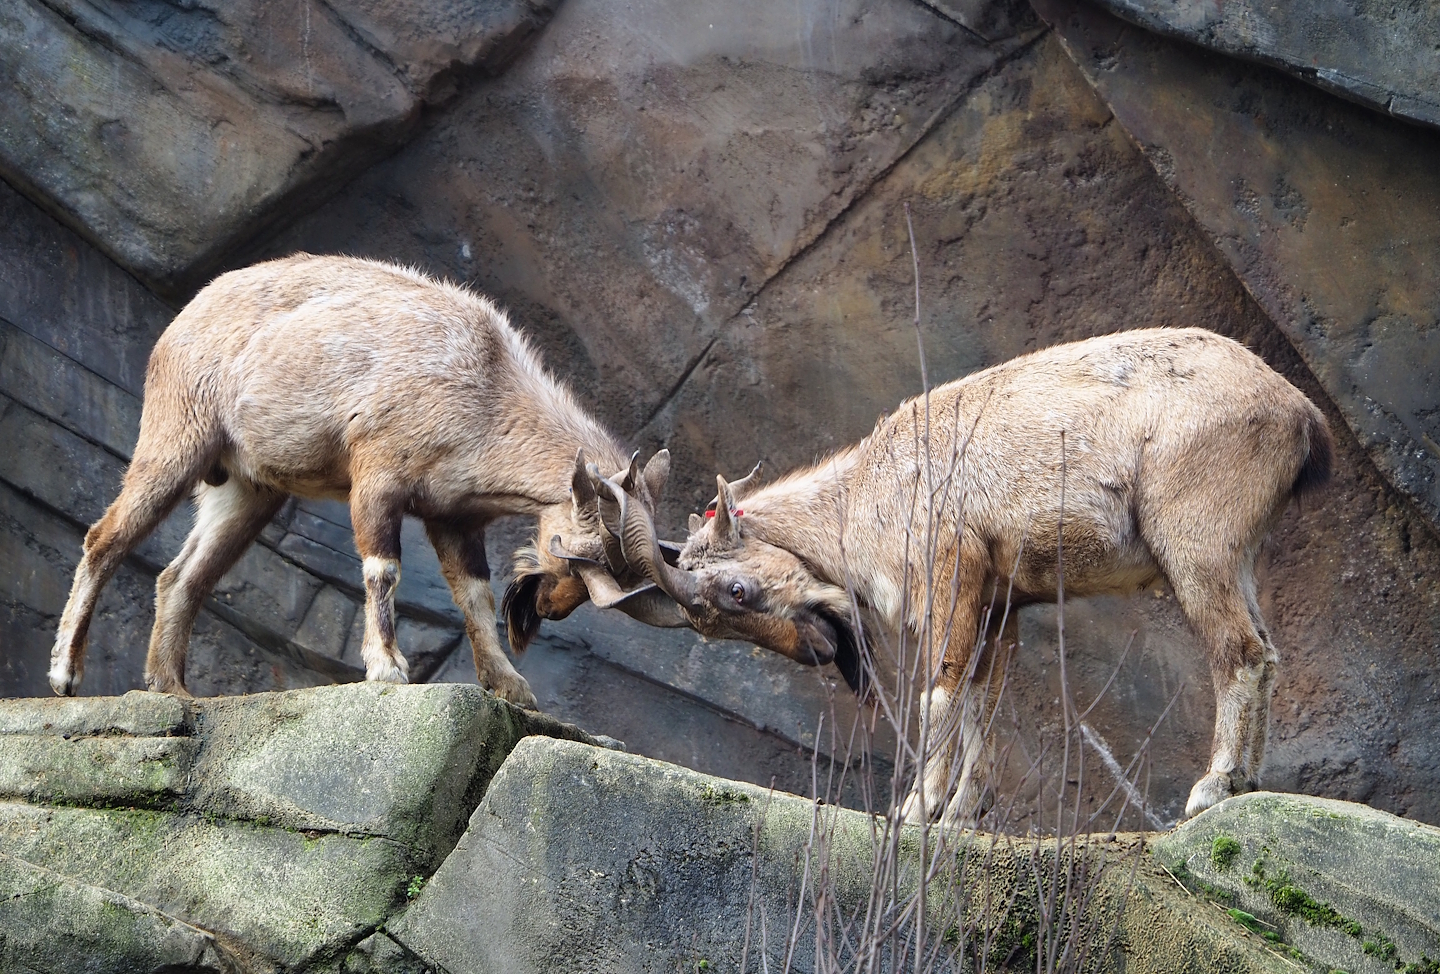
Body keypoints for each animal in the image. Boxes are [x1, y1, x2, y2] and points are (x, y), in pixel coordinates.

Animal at [49, 253, 676, 704]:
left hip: (247, 489)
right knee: (104, 539)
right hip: (176, 438)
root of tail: (186, 317)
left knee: (181, 576)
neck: (487, 389)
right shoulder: (378, 474)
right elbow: (382, 570)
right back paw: (66, 674)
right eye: (578, 555)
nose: (548, 607)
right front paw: (387, 668)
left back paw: (172, 688)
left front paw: (510, 686)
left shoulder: (453, 515)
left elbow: (473, 595)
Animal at [598, 328, 1332, 822]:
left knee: (1239, 651)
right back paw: (1246, 785)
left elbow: (940, 697)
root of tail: (1300, 416)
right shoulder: (1002, 605)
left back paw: (1212, 788)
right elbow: (984, 702)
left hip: (1196, 542)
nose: (821, 650)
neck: (862, 495)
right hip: (1236, 555)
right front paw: (959, 816)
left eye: (737, 590)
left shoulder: (949, 569)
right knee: (1267, 651)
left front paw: (915, 810)